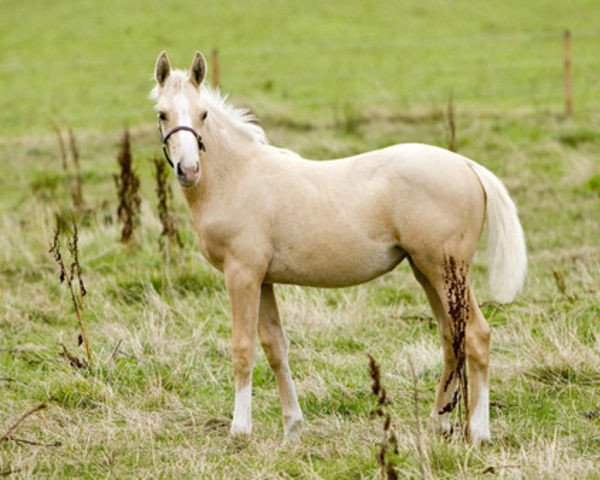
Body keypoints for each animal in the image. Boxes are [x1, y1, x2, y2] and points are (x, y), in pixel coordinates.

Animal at [152, 50, 528, 444]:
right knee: (451, 338)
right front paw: (293, 427)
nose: (188, 170)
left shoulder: (242, 274)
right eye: (162, 114)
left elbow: (243, 348)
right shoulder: (263, 279)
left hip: (446, 270)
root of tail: (468, 165)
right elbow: (275, 347)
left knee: (477, 336)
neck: (237, 177)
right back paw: (438, 423)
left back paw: (480, 432)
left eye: (203, 114)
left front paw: (240, 431)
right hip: (426, 272)